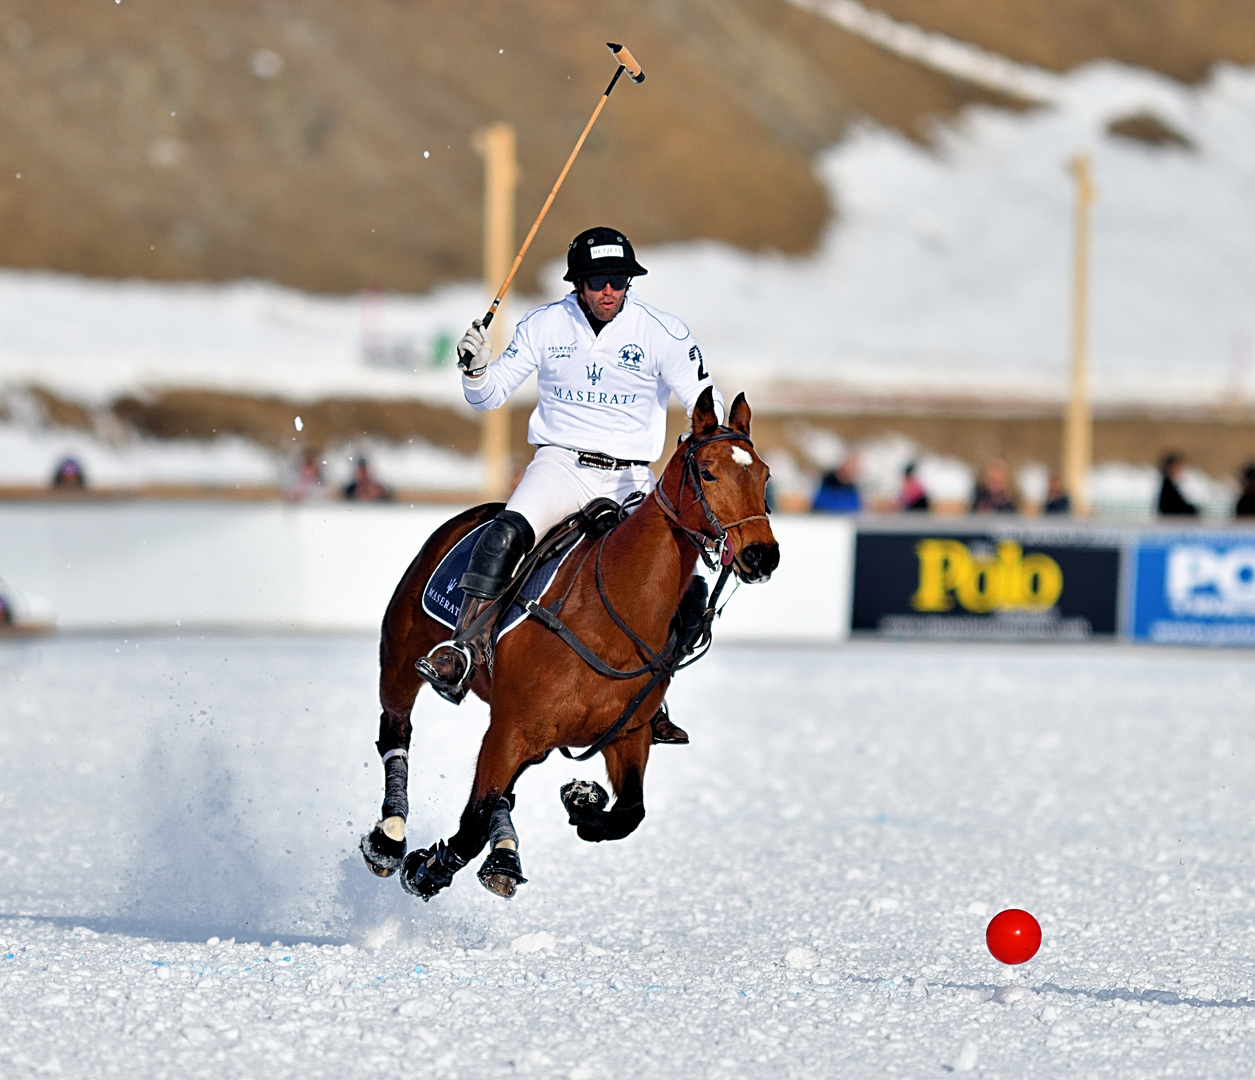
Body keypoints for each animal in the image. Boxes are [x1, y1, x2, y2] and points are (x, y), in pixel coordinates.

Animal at [358, 383, 778, 898]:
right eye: (708, 471)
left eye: (764, 474)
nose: (762, 556)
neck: (611, 615)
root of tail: (477, 512)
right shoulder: (511, 727)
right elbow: (472, 822)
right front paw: (425, 868)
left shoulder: (628, 734)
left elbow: (628, 812)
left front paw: (582, 800)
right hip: (401, 658)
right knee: (395, 731)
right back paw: (389, 840)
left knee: (505, 792)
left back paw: (504, 858)